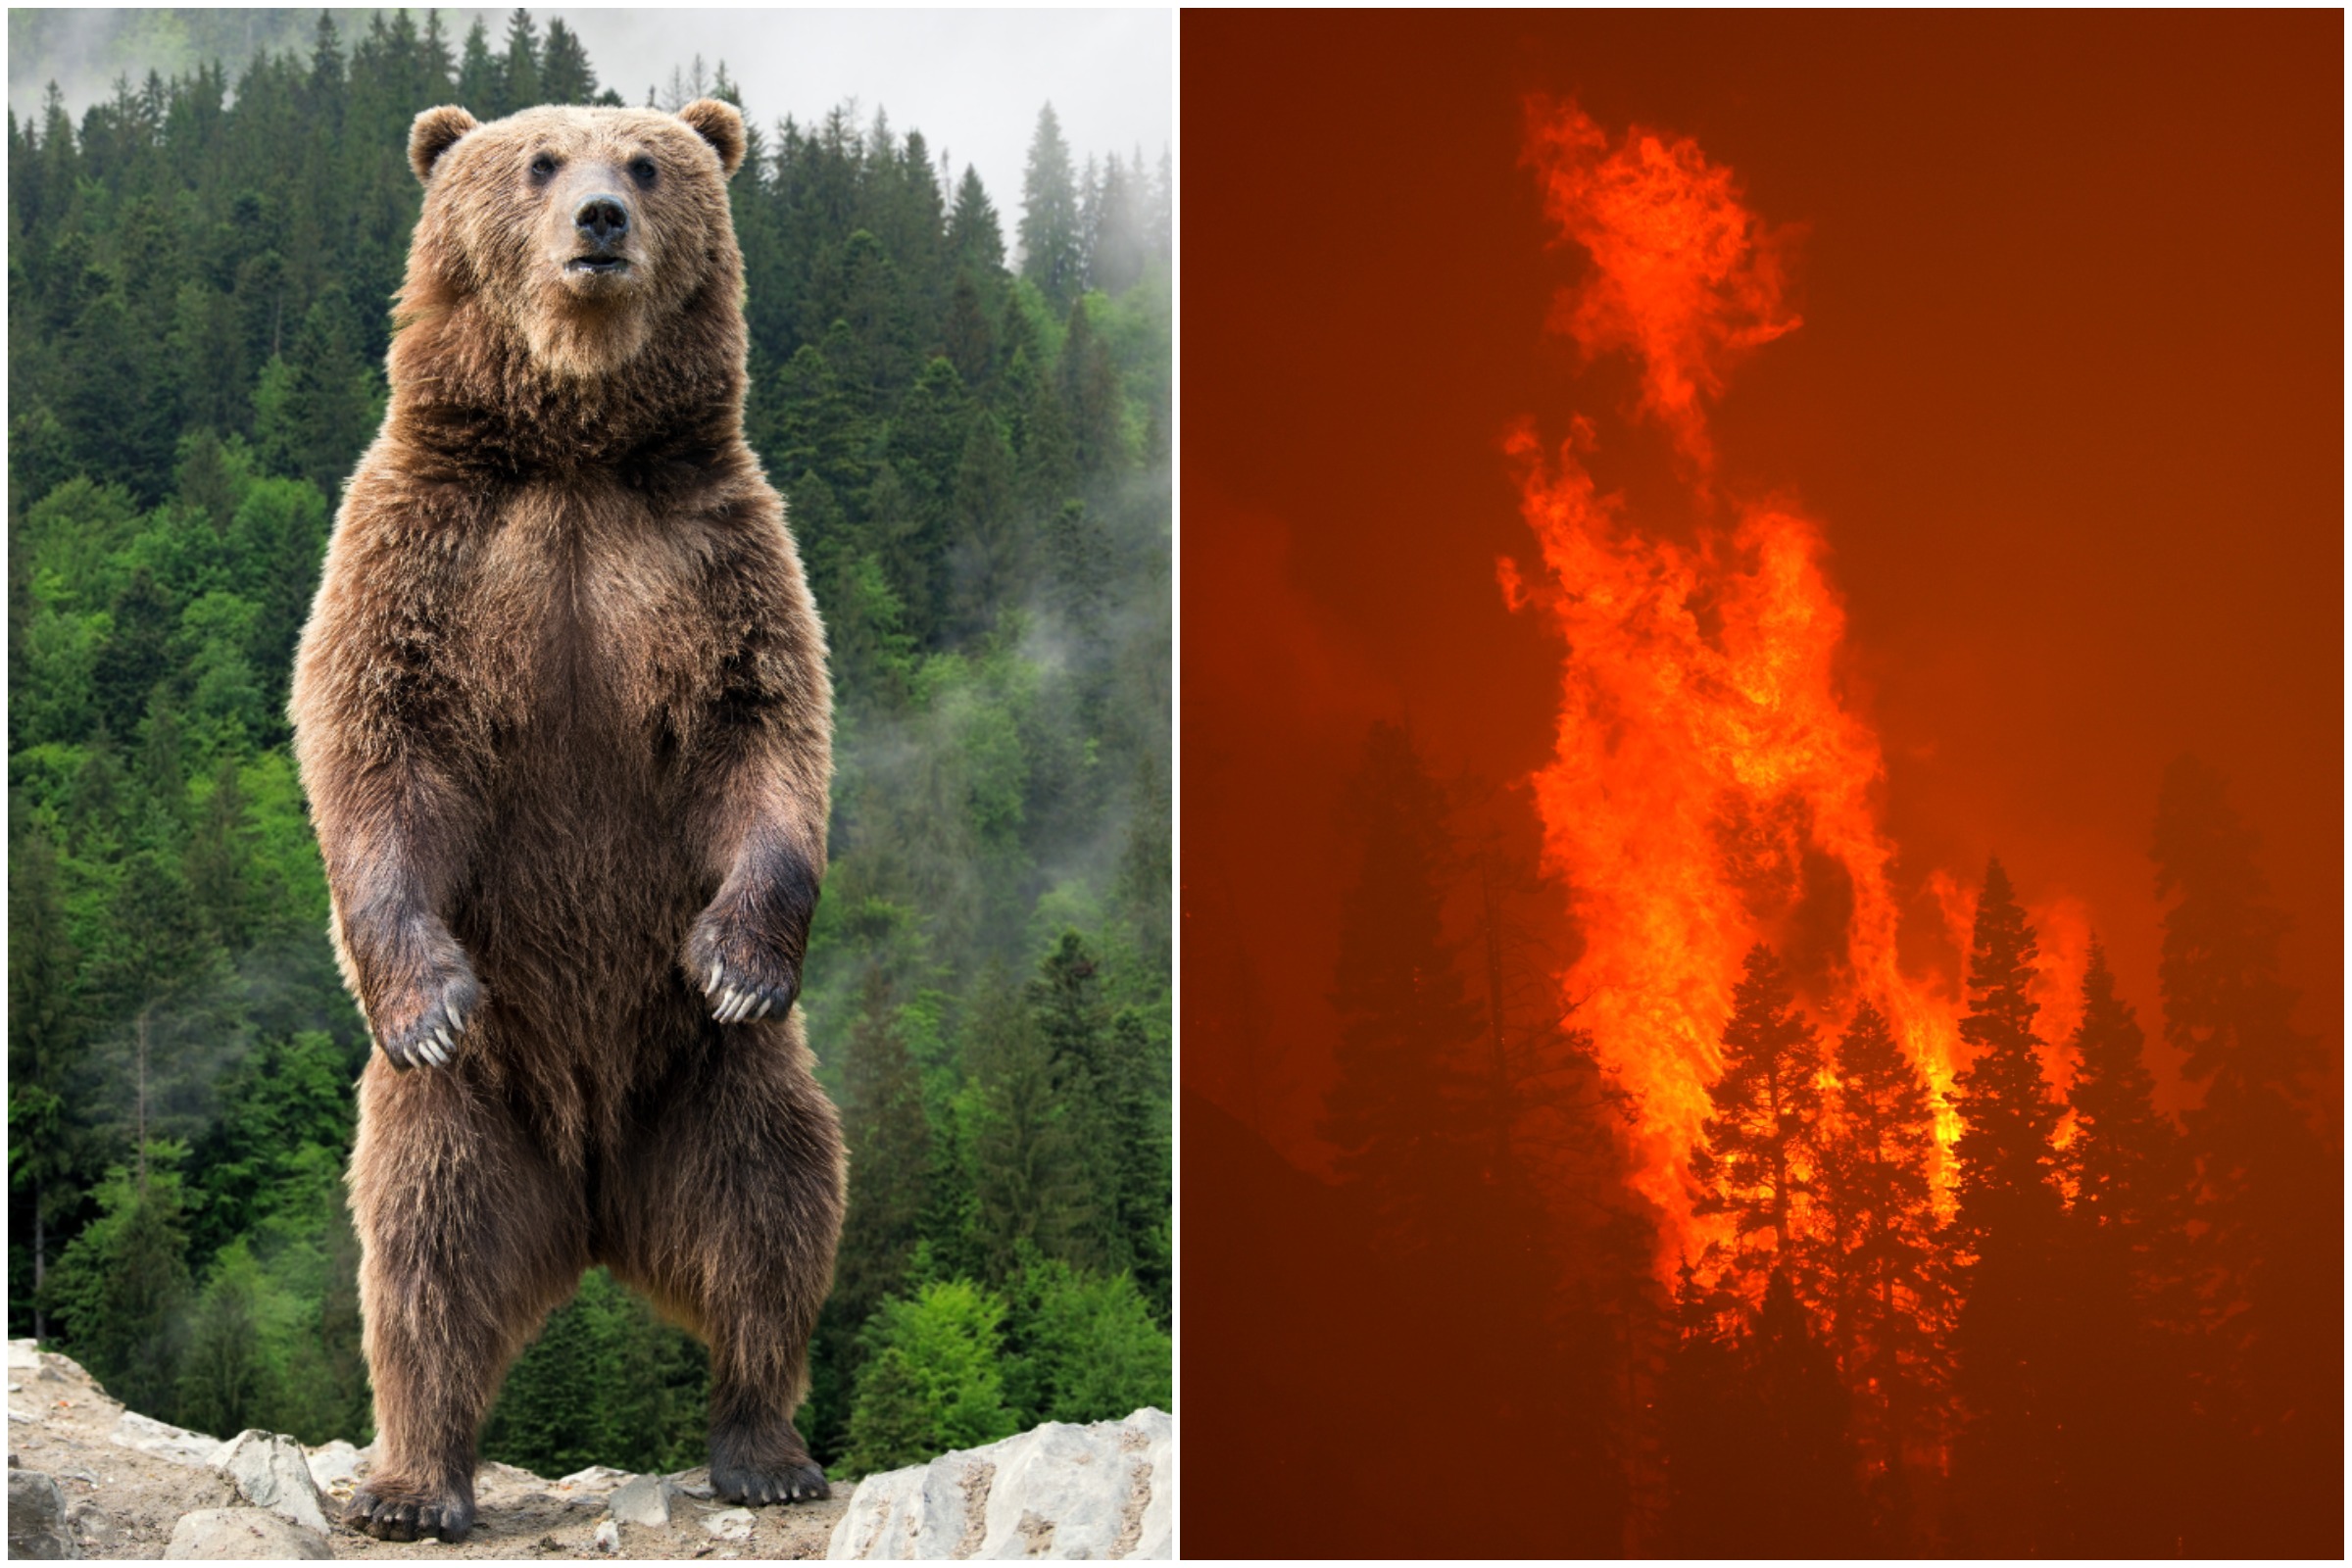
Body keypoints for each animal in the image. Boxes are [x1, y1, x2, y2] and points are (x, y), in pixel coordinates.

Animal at [289, 98, 847, 1542]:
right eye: (540, 162)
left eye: (647, 163)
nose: (600, 219)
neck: (575, 449)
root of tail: (593, 1205)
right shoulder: (425, 549)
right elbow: (377, 742)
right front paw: (424, 994)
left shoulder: (712, 553)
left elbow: (764, 732)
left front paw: (739, 958)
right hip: (472, 1111)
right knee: (422, 1257)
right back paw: (413, 1483)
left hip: (711, 1082)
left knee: (772, 1211)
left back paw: (765, 1447)